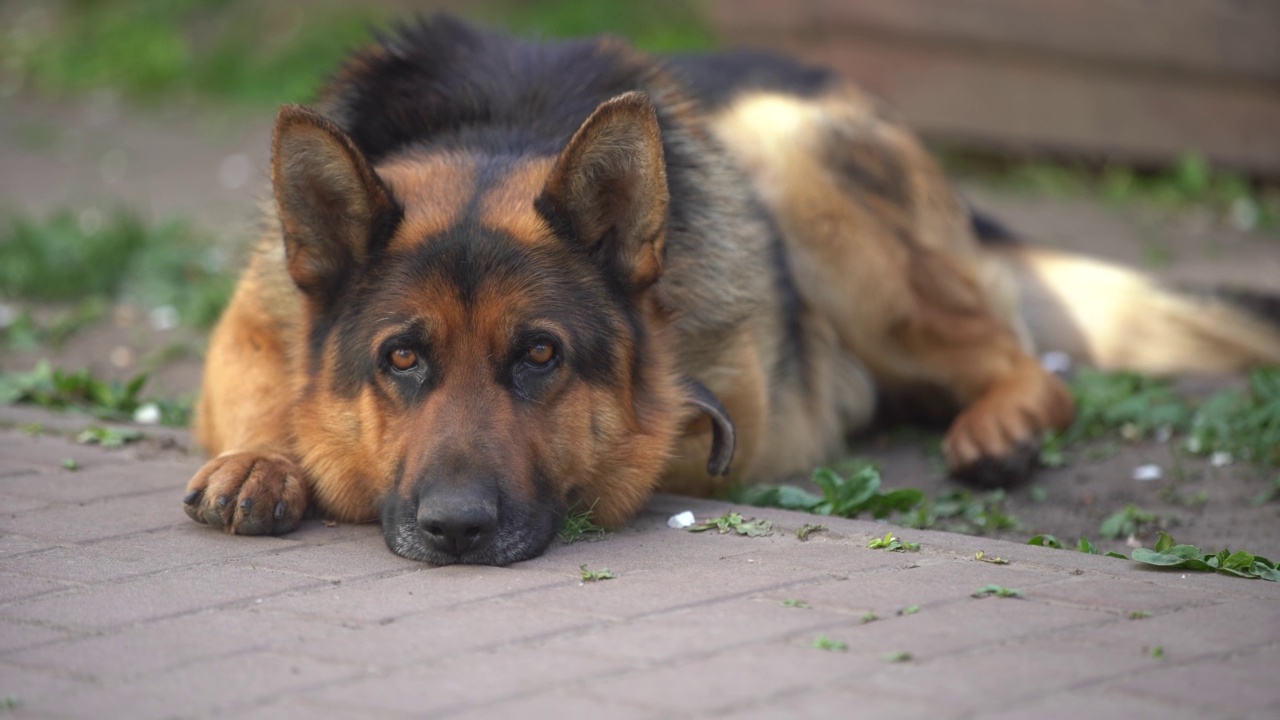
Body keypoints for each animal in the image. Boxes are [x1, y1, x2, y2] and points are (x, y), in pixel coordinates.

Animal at [185, 14, 1280, 563]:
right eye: (401, 359)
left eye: (539, 356)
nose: (455, 531)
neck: (494, 130)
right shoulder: (246, 329)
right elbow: (268, 392)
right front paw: (264, 459)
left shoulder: (719, 419)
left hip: (797, 161)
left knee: (1029, 363)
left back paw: (997, 424)